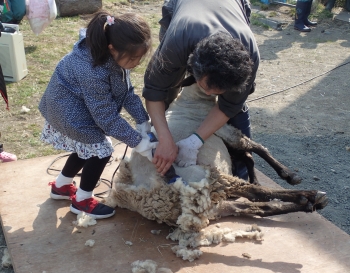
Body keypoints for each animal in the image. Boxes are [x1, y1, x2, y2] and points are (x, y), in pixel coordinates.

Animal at [102, 83, 328, 249]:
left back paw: (308, 205)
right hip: (209, 179)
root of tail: (146, 197)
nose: (251, 87)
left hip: (212, 205)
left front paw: (260, 175)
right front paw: (288, 174)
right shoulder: (227, 131)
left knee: (257, 207)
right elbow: (256, 148)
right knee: (255, 193)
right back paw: (310, 196)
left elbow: (248, 155)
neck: (193, 98)